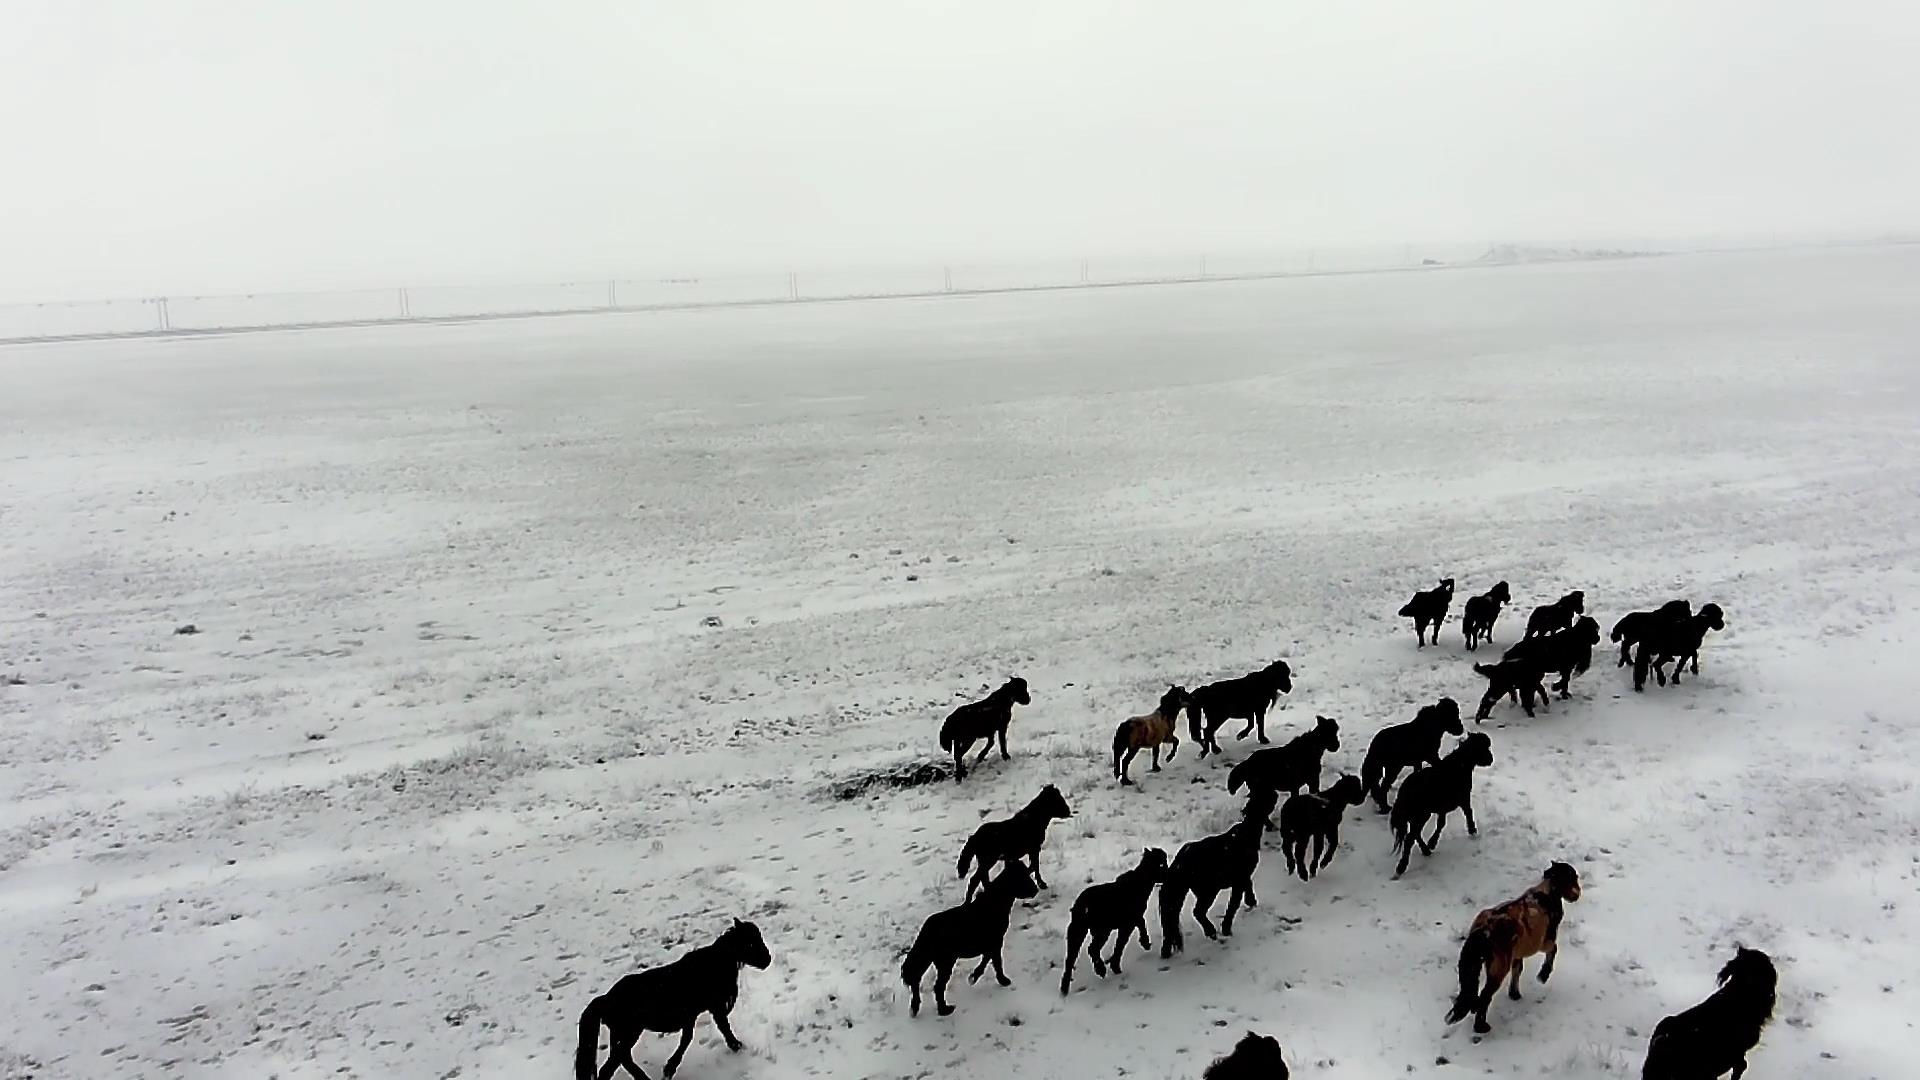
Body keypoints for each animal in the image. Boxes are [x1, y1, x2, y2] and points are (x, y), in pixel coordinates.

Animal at [572, 914, 768, 1076]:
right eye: (750, 942)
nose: (768, 959)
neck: (711, 965)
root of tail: (606, 999)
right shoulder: (707, 1009)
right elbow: (694, 1036)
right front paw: (670, 1068)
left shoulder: (701, 1012)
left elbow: (712, 1031)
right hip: (627, 1034)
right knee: (616, 1063)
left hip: (623, 1036)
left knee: (617, 1063)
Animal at [1443, 860, 1582, 1030]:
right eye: (1573, 877)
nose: (1578, 894)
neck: (1547, 893)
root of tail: (1484, 930)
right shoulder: (1543, 942)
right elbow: (1553, 950)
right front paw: (1543, 975)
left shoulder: (1517, 952)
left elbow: (1518, 970)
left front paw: (1514, 994)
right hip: (1499, 967)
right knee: (1485, 995)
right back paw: (1481, 1027)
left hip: (1479, 963)